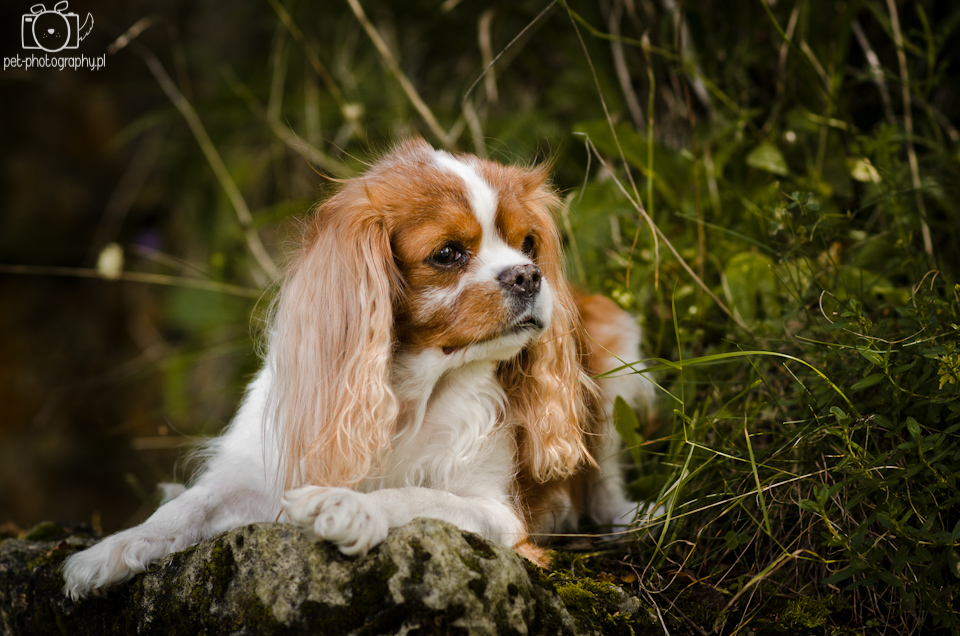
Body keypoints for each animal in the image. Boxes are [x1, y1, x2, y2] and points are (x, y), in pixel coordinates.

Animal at [62, 138, 655, 599]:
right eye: (447, 254)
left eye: (528, 243)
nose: (529, 275)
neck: (412, 390)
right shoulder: (259, 470)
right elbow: (187, 508)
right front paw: (109, 551)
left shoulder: (501, 516)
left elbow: (416, 497)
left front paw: (346, 505)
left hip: (617, 355)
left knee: (606, 481)